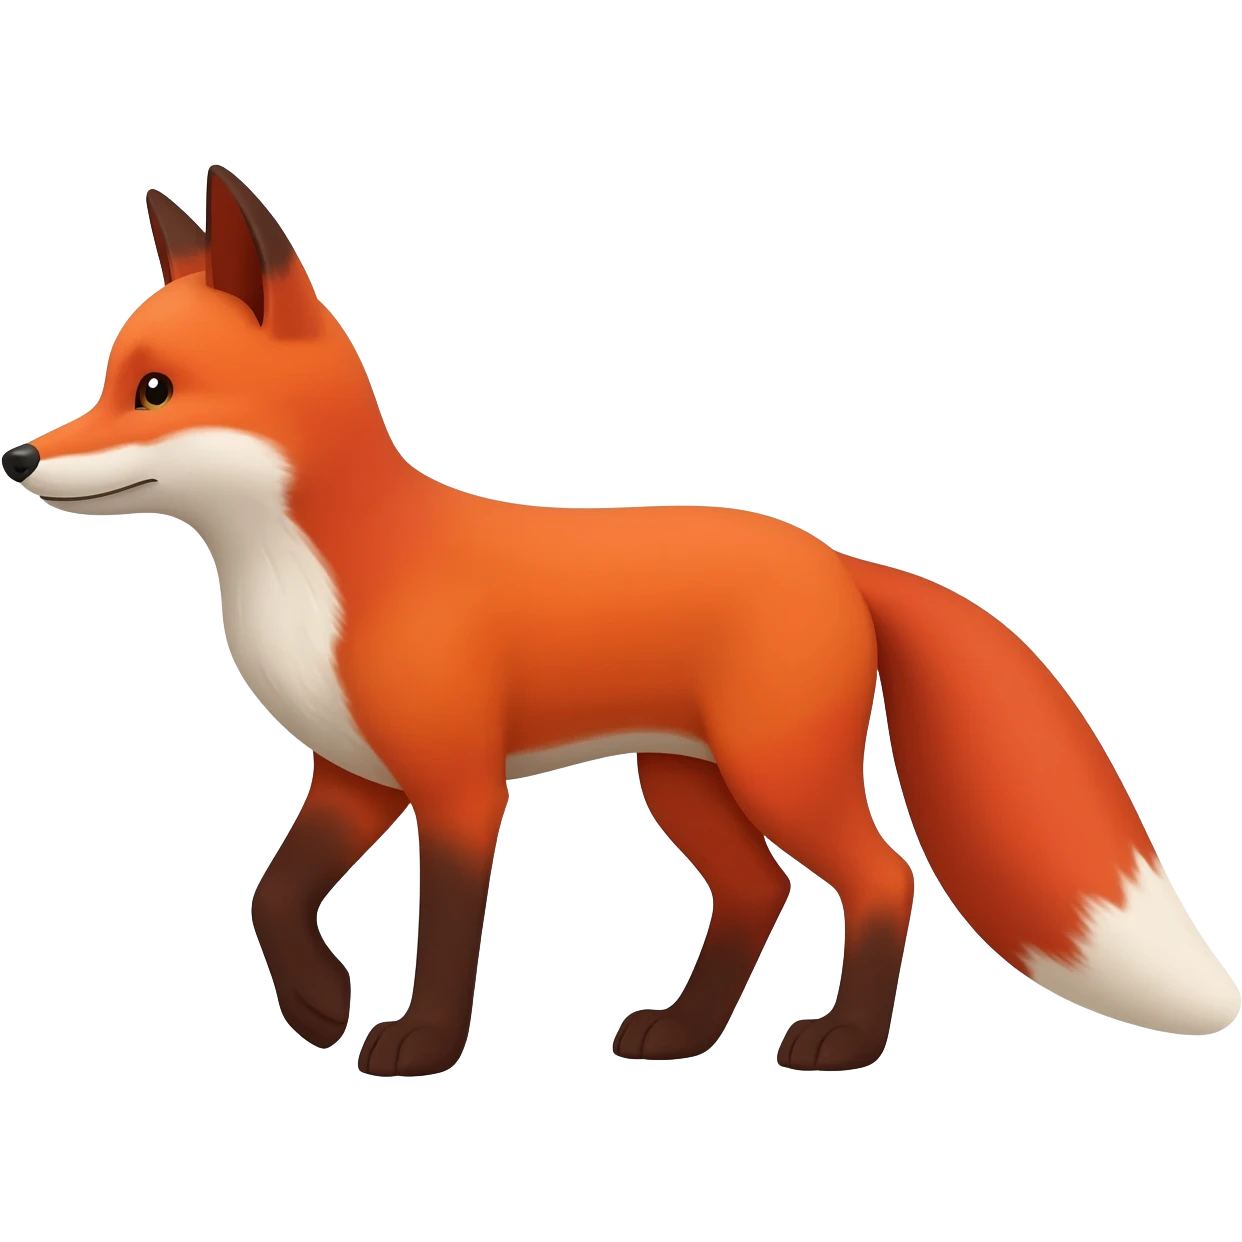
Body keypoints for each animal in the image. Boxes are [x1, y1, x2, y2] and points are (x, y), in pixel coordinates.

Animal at [4, 162, 1238, 1078]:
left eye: (153, 390)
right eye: (108, 382)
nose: (18, 457)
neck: (318, 568)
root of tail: (835, 558)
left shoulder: (459, 785)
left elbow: (444, 934)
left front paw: (419, 1044)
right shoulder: (354, 777)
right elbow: (272, 895)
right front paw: (318, 1005)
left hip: (777, 773)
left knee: (883, 881)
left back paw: (842, 1043)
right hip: (684, 781)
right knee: (758, 894)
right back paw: (683, 1036)